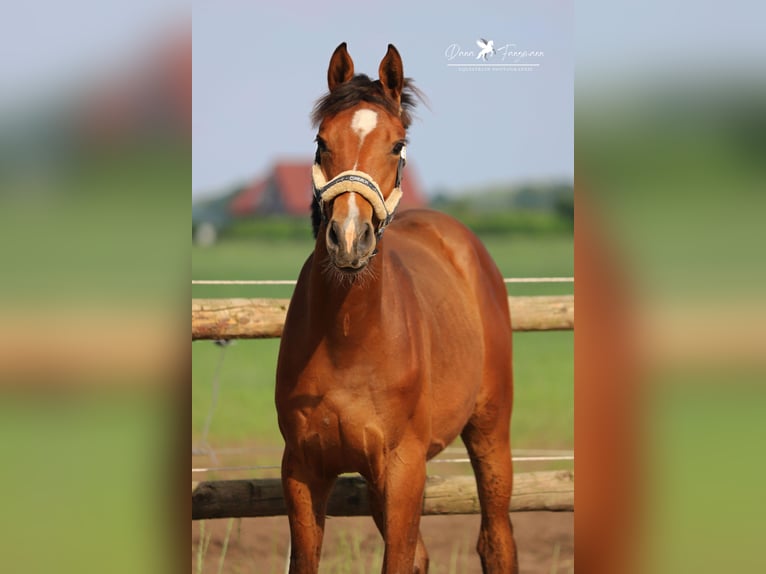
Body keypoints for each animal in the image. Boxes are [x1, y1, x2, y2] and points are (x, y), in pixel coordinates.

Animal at [272, 42, 520, 572]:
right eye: (321, 141)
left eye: (397, 145)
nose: (349, 238)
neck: (348, 339)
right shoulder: (302, 469)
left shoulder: (404, 467)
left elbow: (401, 558)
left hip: (490, 431)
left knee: (496, 539)